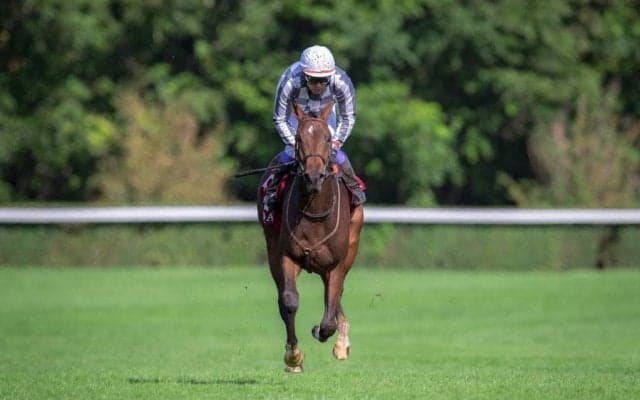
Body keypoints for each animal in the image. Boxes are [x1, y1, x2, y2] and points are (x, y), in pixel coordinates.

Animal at [257, 102, 364, 373]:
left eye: (327, 138)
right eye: (298, 138)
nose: (314, 177)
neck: (315, 212)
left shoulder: (336, 264)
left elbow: (329, 313)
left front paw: (325, 334)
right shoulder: (286, 255)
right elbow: (289, 301)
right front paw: (293, 357)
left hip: (350, 250)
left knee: (336, 297)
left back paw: (342, 343)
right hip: (272, 249)